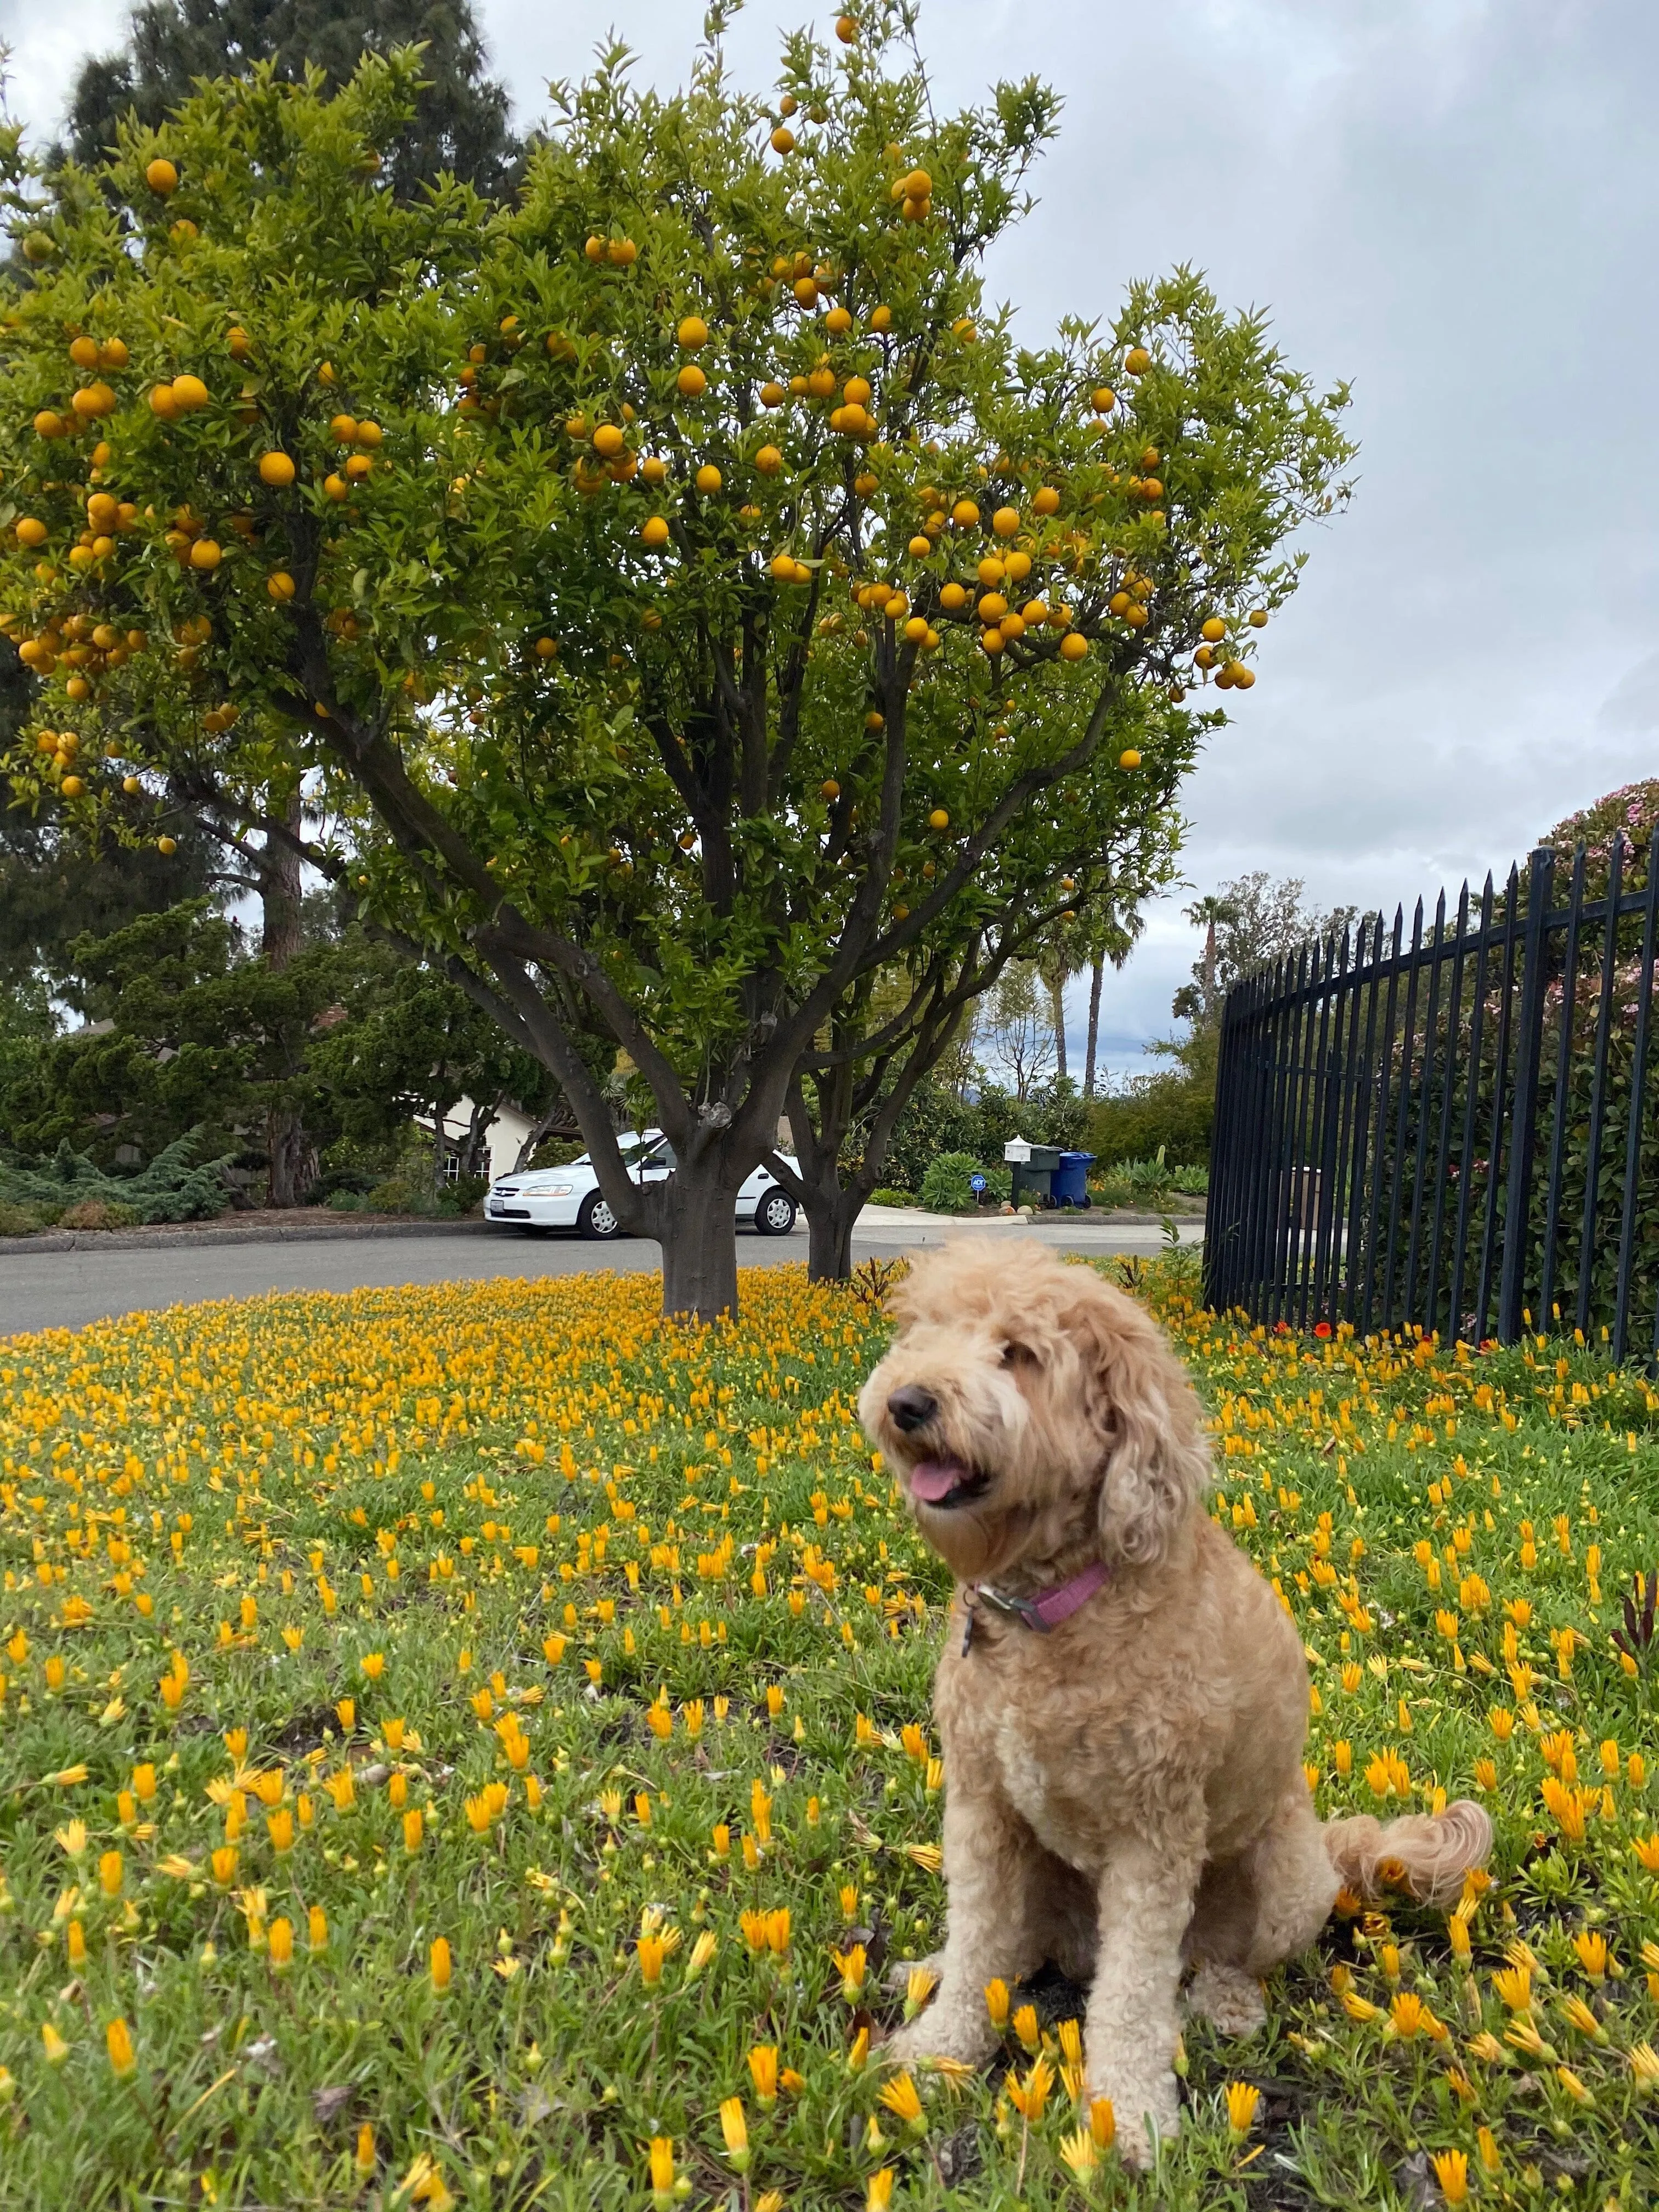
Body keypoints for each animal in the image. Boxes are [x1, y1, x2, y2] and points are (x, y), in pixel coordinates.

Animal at [862, 1248, 1504, 2159]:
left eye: (1018, 1354)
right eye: (922, 1333)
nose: (907, 1402)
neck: (1049, 1613)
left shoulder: (1153, 1833)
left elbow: (1133, 1993)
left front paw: (1127, 2117)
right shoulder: (983, 1804)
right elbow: (981, 1926)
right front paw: (941, 2049)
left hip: (1283, 1880)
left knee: (1223, 1962)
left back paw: (1221, 2005)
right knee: (1014, 1945)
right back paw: (941, 1968)